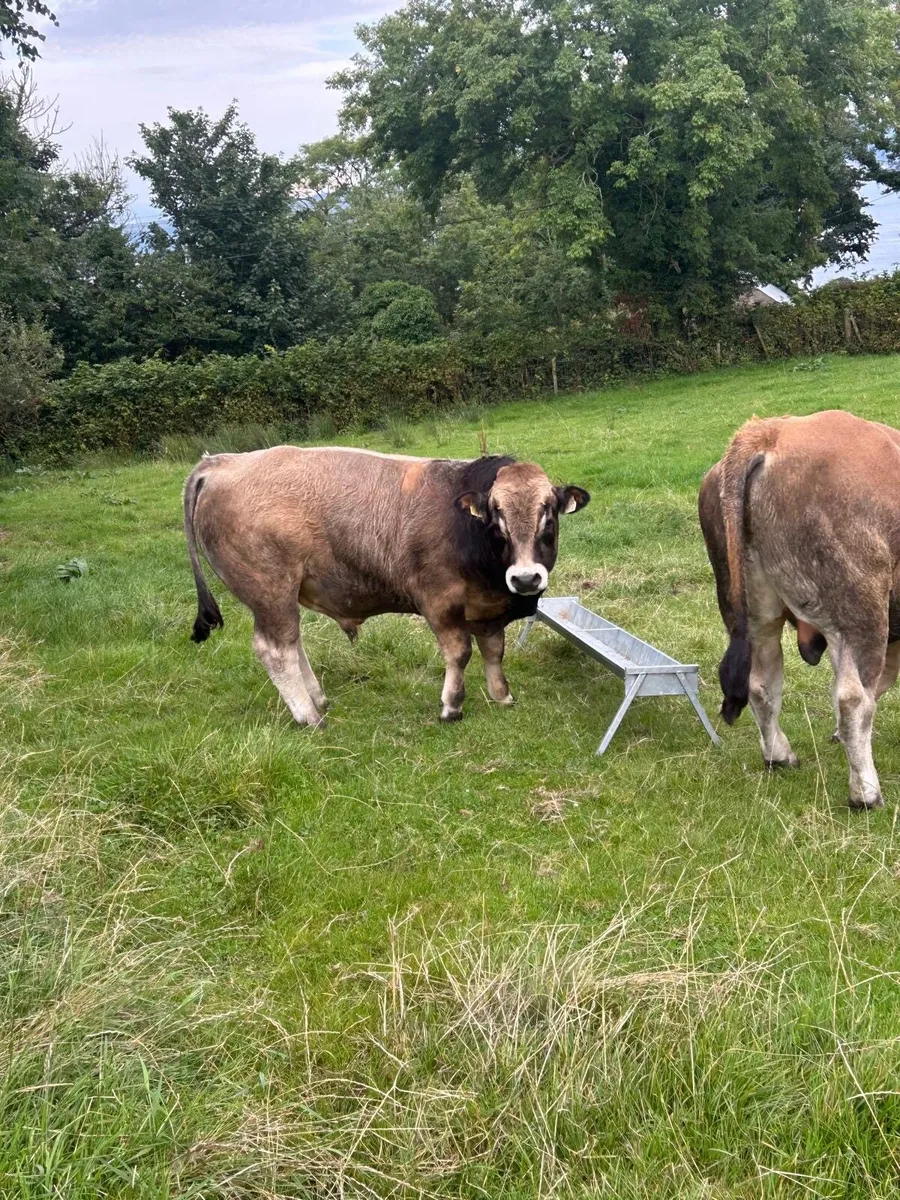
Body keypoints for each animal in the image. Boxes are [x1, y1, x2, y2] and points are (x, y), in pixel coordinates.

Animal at [184, 447, 590, 726]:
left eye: (548, 511)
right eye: (496, 514)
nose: (525, 578)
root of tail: (222, 462)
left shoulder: (489, 609)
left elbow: (493, 651)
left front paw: (501, 696)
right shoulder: (439, 602)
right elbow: (460, 653)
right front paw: (452, 706)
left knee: (291, 644)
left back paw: (317, 699)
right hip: (270, 592)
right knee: (275, 650)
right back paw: (309, 716)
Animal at [699, 409, 900, 810]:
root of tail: (769, 432)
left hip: (755, 615)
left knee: (761, 684)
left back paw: (779, 756)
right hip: (861, 613)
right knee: (854, 699)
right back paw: (865, 793)